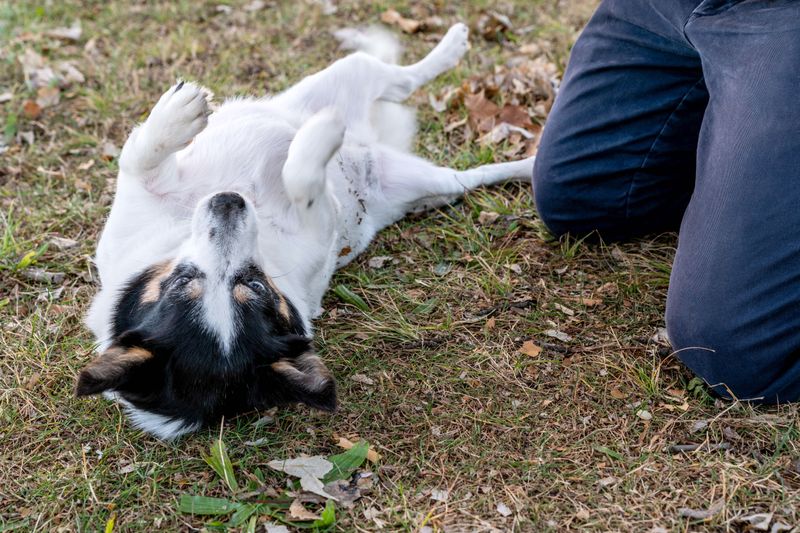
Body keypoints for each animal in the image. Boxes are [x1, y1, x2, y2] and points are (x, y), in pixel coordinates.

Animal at [78, 22, 536, 438]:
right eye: (182, 283)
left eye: (255, 286)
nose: (229, 202)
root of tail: (370, 146)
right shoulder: (316, 227)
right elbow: (300, 179)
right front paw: (315, 143)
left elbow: (140, 154)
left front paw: (177, 116)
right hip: (399, 150)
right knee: (408, 98)